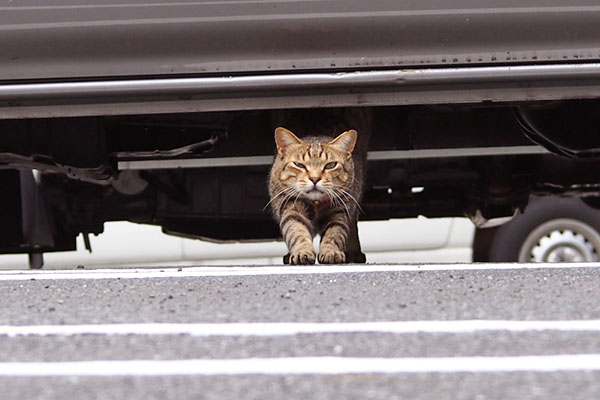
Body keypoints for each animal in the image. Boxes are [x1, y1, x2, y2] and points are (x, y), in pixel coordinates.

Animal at [268, 109, 370, 266]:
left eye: (330, 165)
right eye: (299, 165)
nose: (315, 178)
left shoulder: (340, 210)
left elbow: (334, 233)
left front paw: (331, 252)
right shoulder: (290, 207)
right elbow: (296, 231)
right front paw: (302, 252)